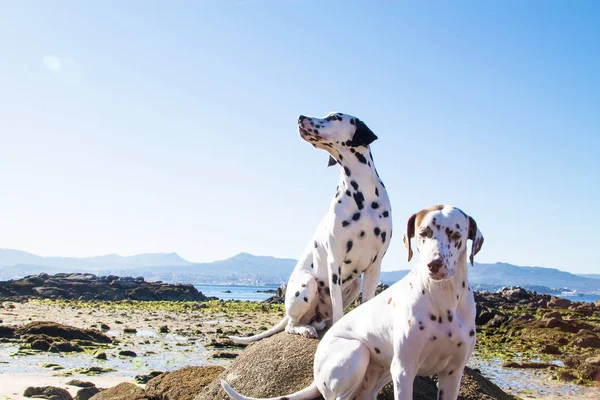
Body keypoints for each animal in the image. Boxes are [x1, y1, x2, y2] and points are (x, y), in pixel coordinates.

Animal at [223, 206, 486, 400]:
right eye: (423, 233)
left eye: (456, 235)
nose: (434, 264)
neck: (444, 299)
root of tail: (315, 378)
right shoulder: (404, 370)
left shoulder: (452, 374)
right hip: (357, 353)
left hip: (382, 371)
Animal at [227, 112, 392, 344]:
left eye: (335, 117)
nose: (300, 117)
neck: (363, 194)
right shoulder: (335, 262)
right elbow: (338, 309)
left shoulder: (374, 266)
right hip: (307, 285)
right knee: (292, 324)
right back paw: (305, 329)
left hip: (353, 286)